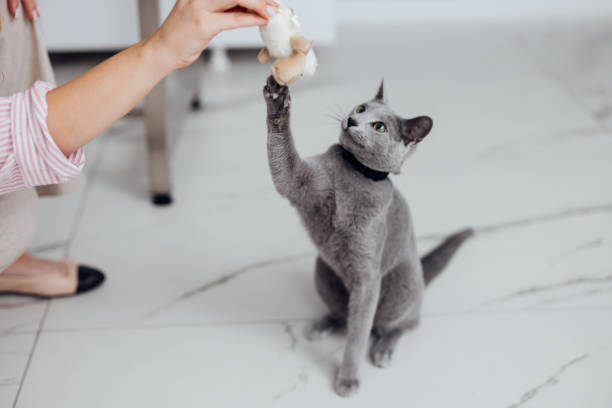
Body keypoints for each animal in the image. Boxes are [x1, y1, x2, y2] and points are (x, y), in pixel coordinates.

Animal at [262, 75, 474, 396]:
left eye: (379, 127)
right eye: (361, 108)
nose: (352, 119)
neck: (355, 173)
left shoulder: (367, 277)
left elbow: (358, 336)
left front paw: (348, 380)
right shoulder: (299, 181)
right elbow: (284, 161)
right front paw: (276, 99)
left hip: (401, 285)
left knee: (401, 324)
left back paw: (384, 348)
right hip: (323, 271)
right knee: (342, 311)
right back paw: (322, 325)